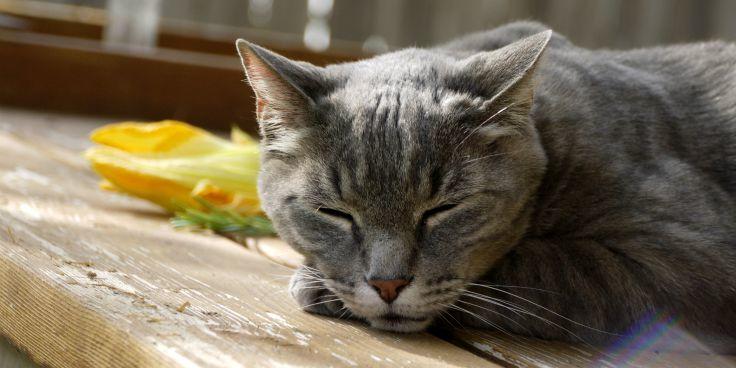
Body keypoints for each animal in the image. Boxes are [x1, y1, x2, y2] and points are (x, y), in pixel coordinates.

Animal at [236, 21, 736, 352]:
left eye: (443, 209)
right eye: (334, 212)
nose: (387, 284)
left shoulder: (687, 260)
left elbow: (537, 265)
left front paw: (317, 286)